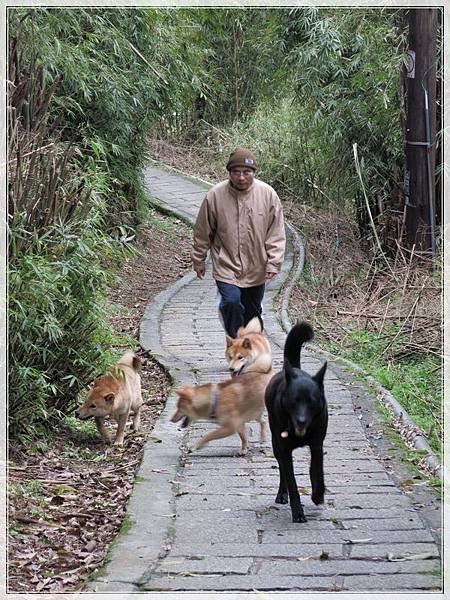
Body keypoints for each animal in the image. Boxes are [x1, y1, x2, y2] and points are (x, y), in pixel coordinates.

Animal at [266, 322, 328, 524]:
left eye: (312, 401)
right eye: (294, 401)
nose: (301, 421)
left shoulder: (317, 445)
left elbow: (317, 472)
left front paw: (318, 495)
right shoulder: (284, 450)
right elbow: (291, 481)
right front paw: (298, 512)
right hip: (275, 443)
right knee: (282, 471)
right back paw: (281, 494)